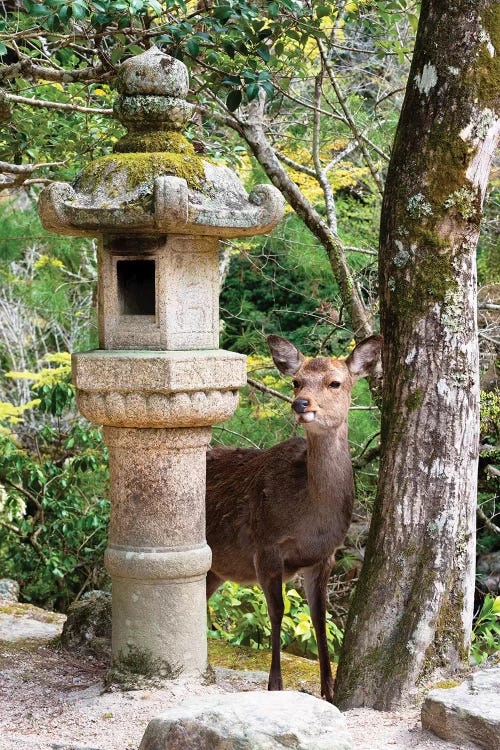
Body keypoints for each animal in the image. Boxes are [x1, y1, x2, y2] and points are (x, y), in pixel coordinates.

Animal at [205, 334, 380, 704]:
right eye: (296, 381)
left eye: (335, 382)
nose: (301, 404)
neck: (309, 521)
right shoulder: (266, 546)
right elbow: (277, 612)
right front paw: (275, 685)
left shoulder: (325, 556)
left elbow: (320, 617)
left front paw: (329, 689)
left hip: (216, 569)